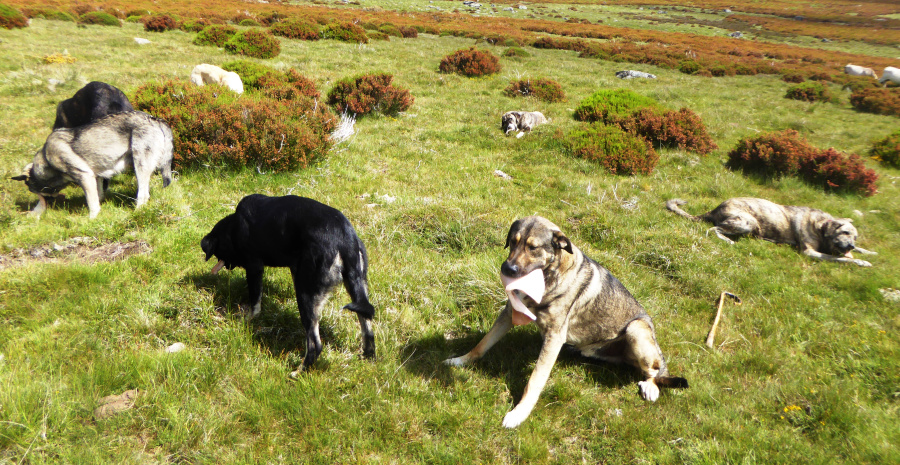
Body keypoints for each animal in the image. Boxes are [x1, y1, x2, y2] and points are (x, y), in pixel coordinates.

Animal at [12, 110, 174, 218]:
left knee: (143, 195)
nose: (31, 215)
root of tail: (156, 120)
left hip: (140, 168)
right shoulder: (95, 177)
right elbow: (98, 196)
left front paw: (92, 219)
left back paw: (136, 213)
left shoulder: (85, 176)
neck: (47, 159)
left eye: (37, 193)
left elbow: (92, 203)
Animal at [201, 194, 376, 372]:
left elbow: (255, 302)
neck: (235, 226)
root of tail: (346, 241)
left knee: (315, 344)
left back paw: (299, 371)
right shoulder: (294, 268)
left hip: (306, 294)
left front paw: (248, 318)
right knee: (367, 328)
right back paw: (367, 357)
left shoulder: (254, 267)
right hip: (356, 285)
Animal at [664, 197, 876, 268]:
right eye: (846, 232)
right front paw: (861, 261)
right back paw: (728, 241)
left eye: (855, 236)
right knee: (713, 229)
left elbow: (857, 252)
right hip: (747, 222)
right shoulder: (810, 252)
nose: (851, 245)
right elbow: (840, 258)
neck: (821, 226)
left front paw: (869, 252)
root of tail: (715, 209)